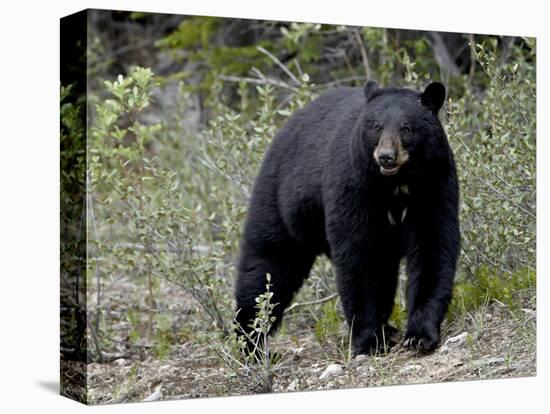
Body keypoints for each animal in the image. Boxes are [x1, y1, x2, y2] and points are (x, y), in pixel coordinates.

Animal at [236, 81, 462, 356]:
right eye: (375, 126)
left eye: (407, 128)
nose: (386, 156)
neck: (395, 185)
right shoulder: (354, 185)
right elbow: (361, 255)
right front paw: (369, 341)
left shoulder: (433, 182)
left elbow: (432, 245)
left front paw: (419, 336)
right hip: (280, 200)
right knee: (267, 267)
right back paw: (251, 344)